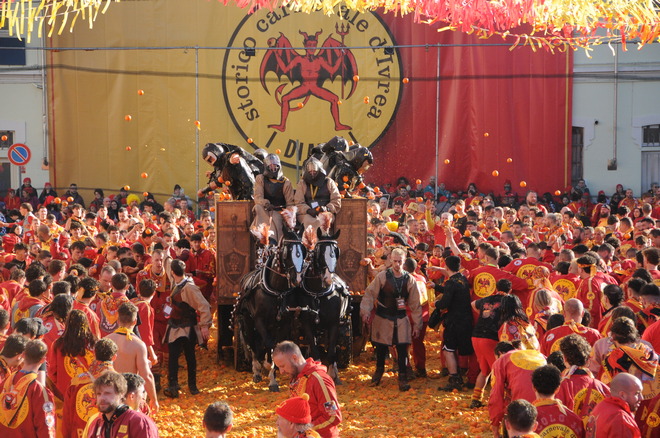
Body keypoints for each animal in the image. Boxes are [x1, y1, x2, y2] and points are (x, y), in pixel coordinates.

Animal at [235, 227, 306, 390]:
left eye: (303, 250)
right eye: (287, 252)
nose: (298, 279)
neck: (277, 291)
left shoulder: (284, 322)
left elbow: (277, 345)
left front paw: (273, 375)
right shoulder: (259, 321)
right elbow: (267, 343)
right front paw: (269, 370)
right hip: (248, 322)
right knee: (252, 342)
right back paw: (256, 370)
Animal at [294, 228, 351, 385]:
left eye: (336, 251)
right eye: (319, 251)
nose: (327, 278)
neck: (318, 294)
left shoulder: (334, 324)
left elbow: (331, 351)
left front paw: (332, 375)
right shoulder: (307, 324)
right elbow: (315, 352)